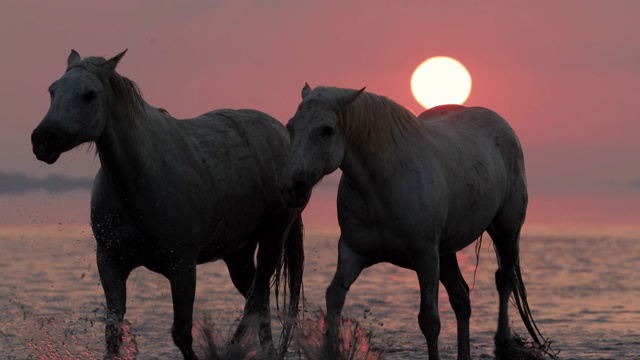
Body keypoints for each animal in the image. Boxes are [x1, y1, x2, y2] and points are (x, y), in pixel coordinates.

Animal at [31, 50, 306, 360]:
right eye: (53, 91)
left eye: (89, 94)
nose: (43, 139)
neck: (138, 181)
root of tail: (282, 132)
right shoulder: (110, 262)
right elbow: (113, 331)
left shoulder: (182, 267)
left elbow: (182, 334)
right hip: (238, 252)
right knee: (259, 302)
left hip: (272, 237)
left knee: (256, 299)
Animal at [282, 83, 552, 358]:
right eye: (291, 127)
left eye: (326, 130)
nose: (293, 187)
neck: (382, 186)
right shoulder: (353, 252)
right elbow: (334, 297)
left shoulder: (426, 258)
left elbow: (429, 321)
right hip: (447, 253)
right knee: (462, 299)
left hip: (506, 231)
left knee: (503, 280)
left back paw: (503, 342)